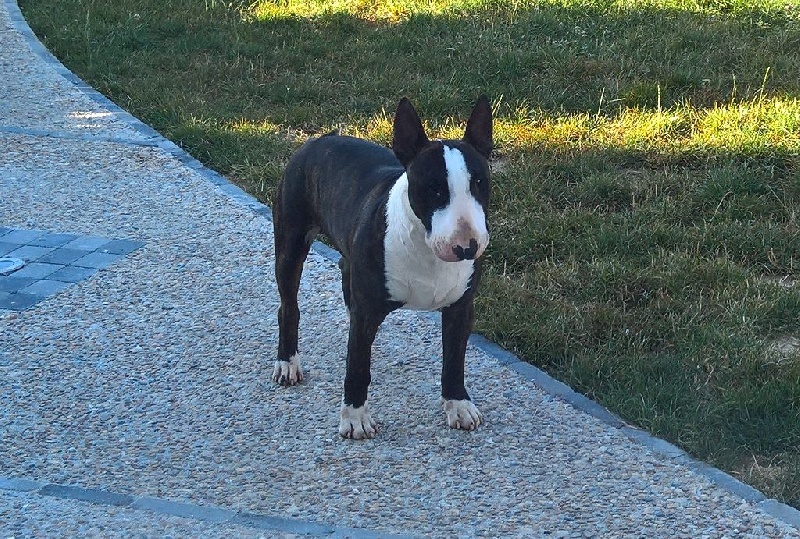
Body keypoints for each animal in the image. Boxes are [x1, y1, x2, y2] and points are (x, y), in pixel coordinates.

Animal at [272, 96, 492, 439]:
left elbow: (455, 359)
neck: (425, 249)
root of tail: (321, 138)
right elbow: (358, 365)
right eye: (434, 187)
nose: (467, 246)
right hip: (291, 239)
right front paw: (355, 418)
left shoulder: (461, 306)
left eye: (480, 182)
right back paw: (287, 363)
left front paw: (458, 405)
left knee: (344, 270)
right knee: (288, 304)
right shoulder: (367, 312)